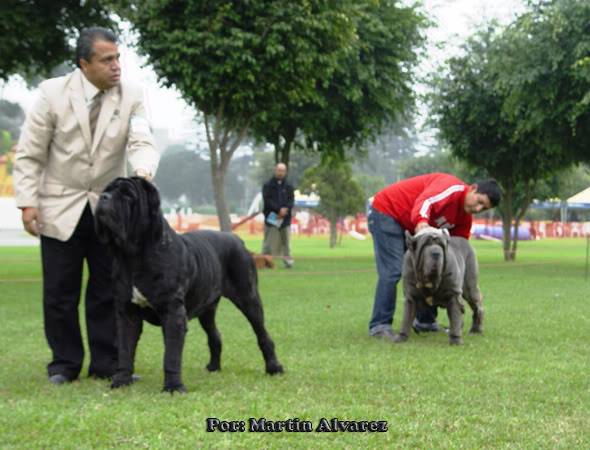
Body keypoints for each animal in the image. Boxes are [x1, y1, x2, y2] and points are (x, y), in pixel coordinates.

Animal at [95, 178, 284, 392]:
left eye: (127, 195)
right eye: (107, 190)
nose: (103, 197)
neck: (133, 255)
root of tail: (237, 239)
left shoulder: (173, 313)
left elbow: (171, 355)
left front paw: (173, 387)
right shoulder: (127, 313)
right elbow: (125, 350)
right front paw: (121, 380)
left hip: (249, 298)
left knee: (262, 334)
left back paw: (274, 367)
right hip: (207, 309)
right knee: (215, 335)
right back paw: (213, 367)